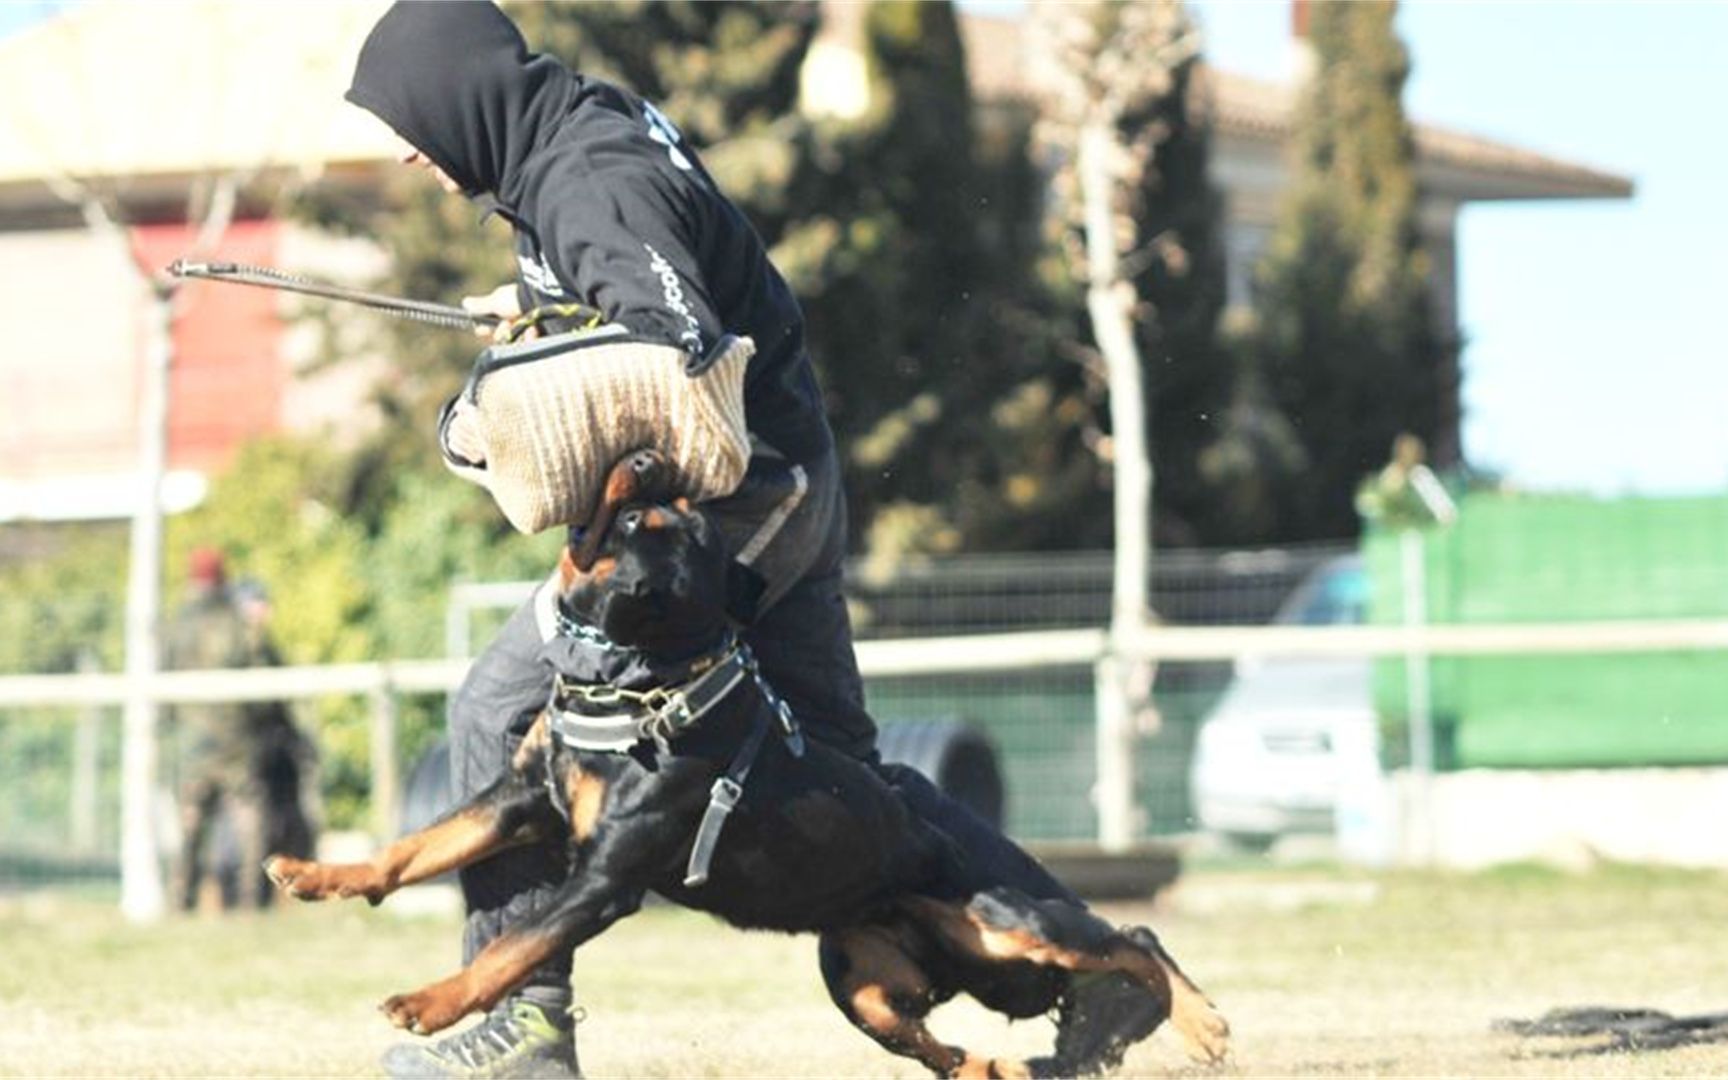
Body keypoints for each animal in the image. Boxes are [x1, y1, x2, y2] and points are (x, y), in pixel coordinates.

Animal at [266, 449, 1230, 1071]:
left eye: (633, 515)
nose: (647, 458)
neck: (637, 688)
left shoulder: (607, 879)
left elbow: (514, 945)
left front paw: (429, 1002)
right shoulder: (521, 799)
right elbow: (417, 846)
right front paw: (316, 874)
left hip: (1008, 919)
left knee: (1131, 938)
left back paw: (1203, 1024)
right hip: (871, 973)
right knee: (961, 1046)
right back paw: (1002, 1061)